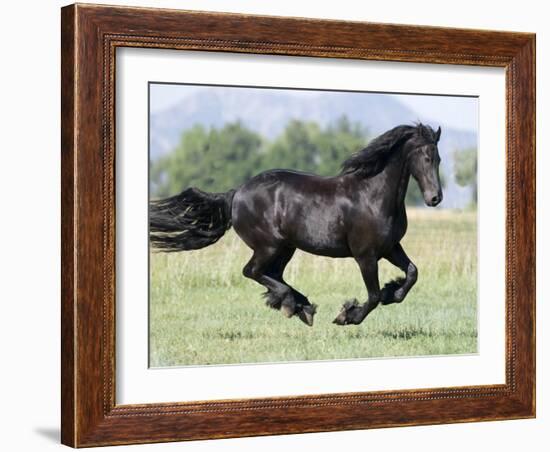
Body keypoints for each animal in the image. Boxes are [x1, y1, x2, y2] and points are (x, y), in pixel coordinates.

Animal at [150, 123, 444, 326]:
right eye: (426, 157)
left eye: (438, 158)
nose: (435, 198)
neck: (372, 196)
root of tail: (237, 193)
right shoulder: (366, 255)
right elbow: (372, 296)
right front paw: (347, 315)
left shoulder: (391, 247)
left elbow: (412, 273)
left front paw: (391, 291)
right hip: (268, 246)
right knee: (252, 271)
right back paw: (294, 305)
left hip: (285, 248)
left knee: (272, 274)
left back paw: (300, 306)